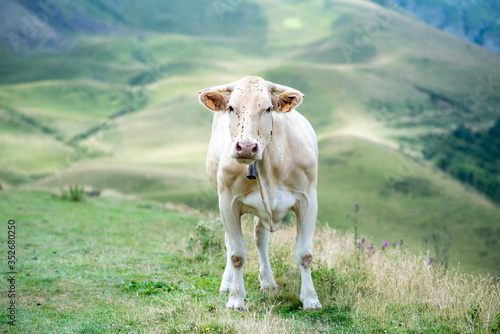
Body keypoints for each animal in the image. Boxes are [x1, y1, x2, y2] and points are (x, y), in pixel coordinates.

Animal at [197, 75, 322, 310]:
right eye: (231, 107)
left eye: (268, 108)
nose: (246, 147)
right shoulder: (227, 203)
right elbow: (237, 254)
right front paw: (236, 298)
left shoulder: (308, 200)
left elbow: (305, 254)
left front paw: (310, 298)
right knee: (232, 242)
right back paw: (228, 284)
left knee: (260, 237)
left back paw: (267, 281)